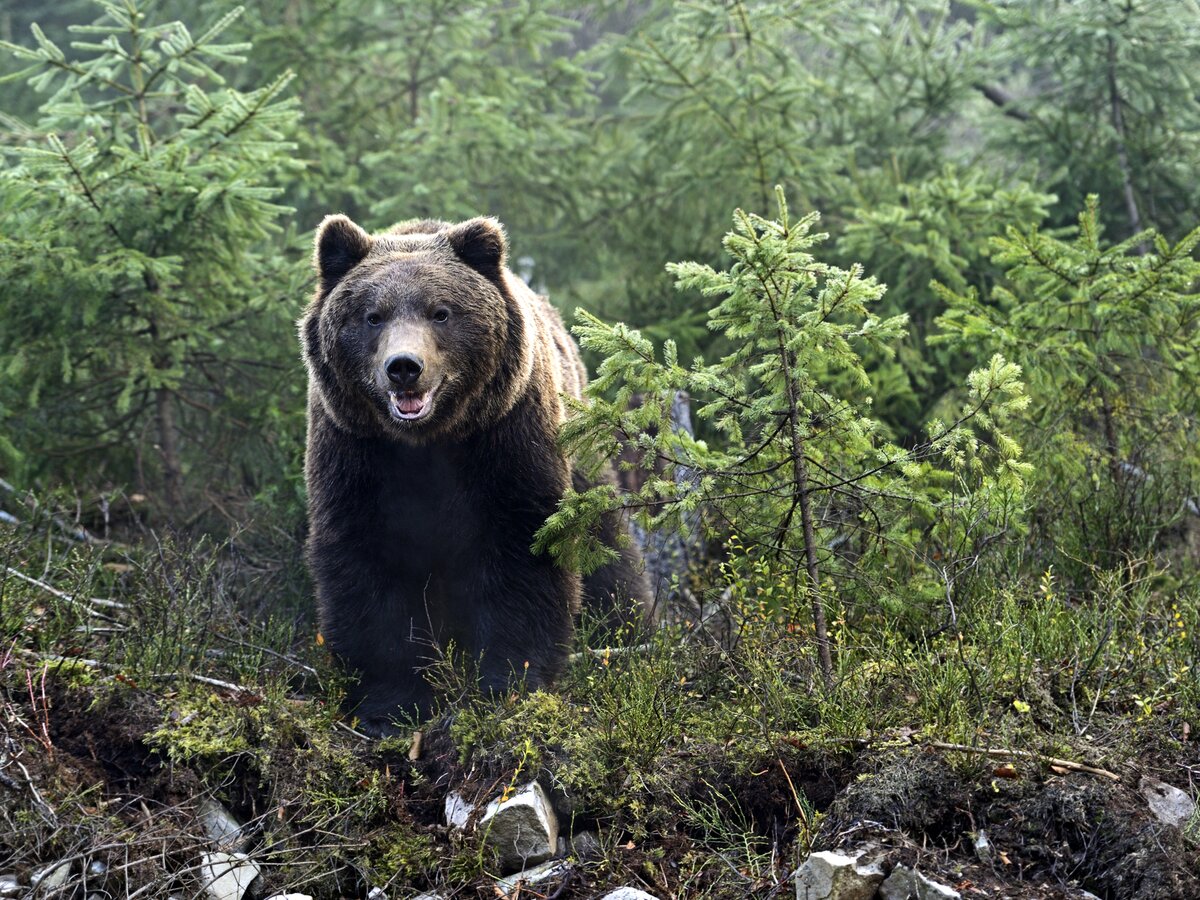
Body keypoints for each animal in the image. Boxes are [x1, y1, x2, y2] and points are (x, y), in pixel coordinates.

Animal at [304, 214, 652, 734]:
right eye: (372, 316)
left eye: (440, 312)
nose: (404, 367)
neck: (427, 440)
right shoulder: (356, 453)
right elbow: (367, 567)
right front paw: (390, 705)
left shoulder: (505, 439)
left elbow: (523, 549)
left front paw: (508, 683)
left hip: (580, 449)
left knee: (607, 548)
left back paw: (629, 629)